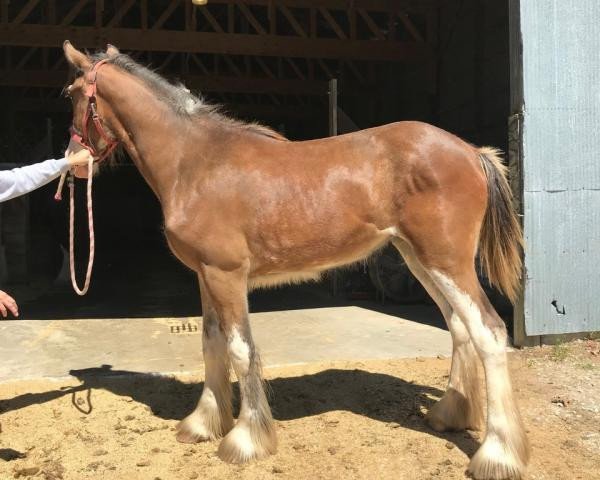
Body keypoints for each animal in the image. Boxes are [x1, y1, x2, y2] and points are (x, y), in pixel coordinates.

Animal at [61, 42, 528, 480]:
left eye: (71, 93)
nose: (74, 164)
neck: (195, 162)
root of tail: (471, 151)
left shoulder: (226, 275)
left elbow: (240, 349)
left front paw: (245, 440)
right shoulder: (205, 276)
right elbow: (211, 344)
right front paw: (203, 424)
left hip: (446, 262)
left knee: (488, 331)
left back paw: (498, 454)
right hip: (419, 260)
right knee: (459, 328)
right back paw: (449, 416)